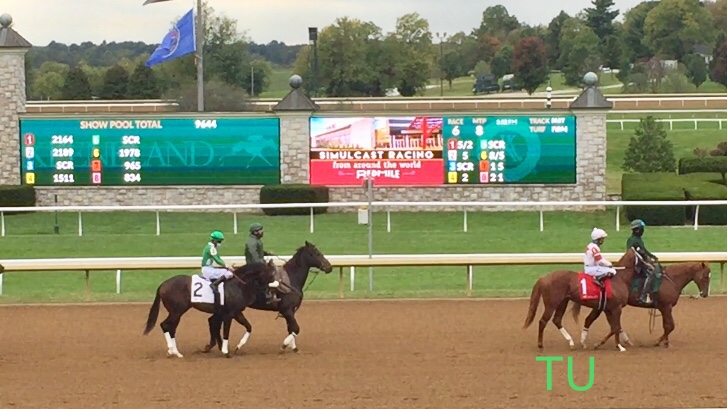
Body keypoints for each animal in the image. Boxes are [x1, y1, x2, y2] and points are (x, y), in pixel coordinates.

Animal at [142, 262, 276, 356]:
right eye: (271, 275)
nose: (271, 294)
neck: (238, 285)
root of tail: (162, 284)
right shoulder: (229, 314)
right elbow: (226, 331)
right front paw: (226, 351)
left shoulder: (237, 312)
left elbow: (249, 327)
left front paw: (238, 346)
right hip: (177, 311)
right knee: (165, 325)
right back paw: (174, 351)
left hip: (177, 312)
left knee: (171, 328)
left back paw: (175, 352)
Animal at [524, 245, 656, 350]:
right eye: (644, 254)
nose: (652, 267)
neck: (619, 279)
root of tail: (544, 278)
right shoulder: (616, 308)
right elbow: (616, 327)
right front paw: (619, 346)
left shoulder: (608, 308)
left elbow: (614, 327)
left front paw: (598, 344)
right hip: (552, 303)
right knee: (543, 321)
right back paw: (540, 345)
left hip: (563, 302)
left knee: (557, 320)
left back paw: (571, 342)